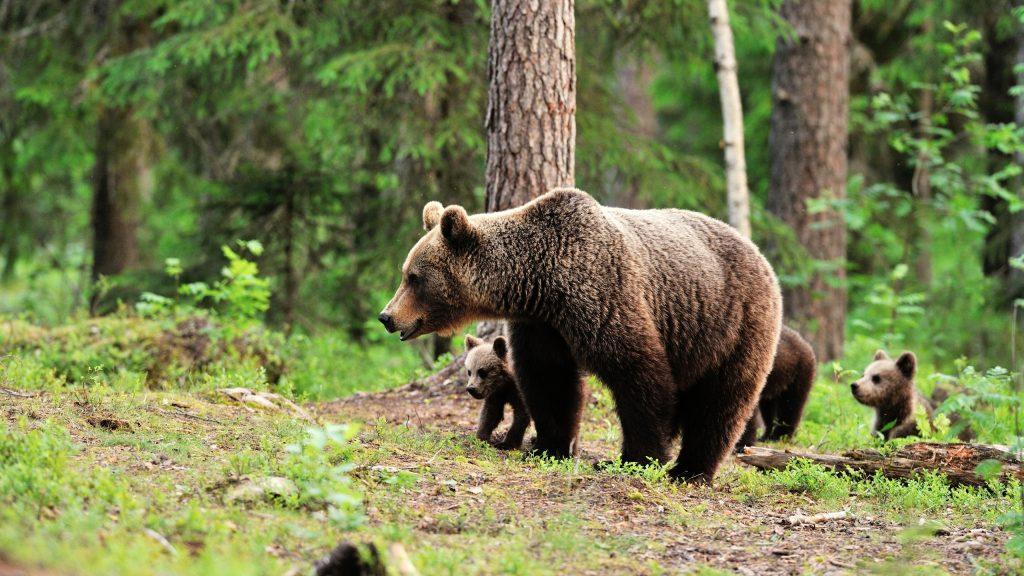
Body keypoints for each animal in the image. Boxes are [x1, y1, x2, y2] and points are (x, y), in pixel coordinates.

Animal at [380, 187, 778, 479]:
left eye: (414, 277)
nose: (387, 316)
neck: (542, 282)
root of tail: (761, 255)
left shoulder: (604, 296)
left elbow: (638, 374)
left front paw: (636, 458)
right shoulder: (542, 325)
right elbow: (549, 380)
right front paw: (549, 446)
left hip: (732, 323)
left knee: (720, 403)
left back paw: (690, 470)